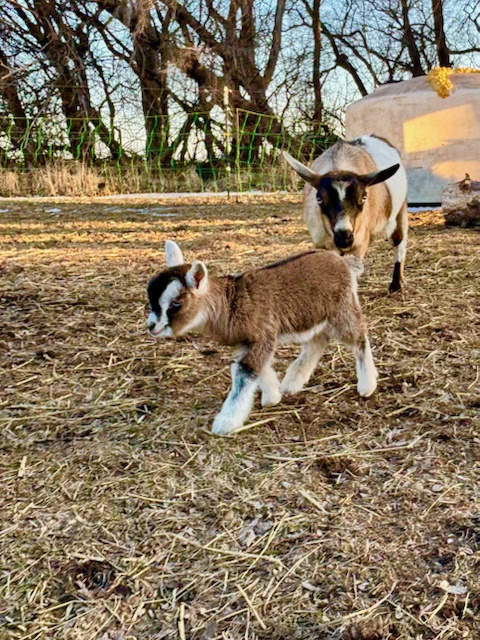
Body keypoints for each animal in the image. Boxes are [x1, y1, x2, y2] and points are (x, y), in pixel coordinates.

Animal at [146, 240, 378, 436]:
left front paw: (225, 423)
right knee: (317, 343)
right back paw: (292, 383)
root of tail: (343, 261)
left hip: (343, 309)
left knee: (359, 338)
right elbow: (256, 369)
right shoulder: (250, 341)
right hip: (316, 315)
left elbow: (244, 373)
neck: (231, 302)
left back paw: (367, 385)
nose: (152, 326)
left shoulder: (262, 335)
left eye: (176, 303)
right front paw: (272, 397)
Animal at [283, 134, 408, 292]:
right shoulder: (322, 244)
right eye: (319, 198)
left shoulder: (358, 244)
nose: (344, 235)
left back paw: (396, 284)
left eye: (364, 197)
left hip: (401, 212)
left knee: (399, 241)